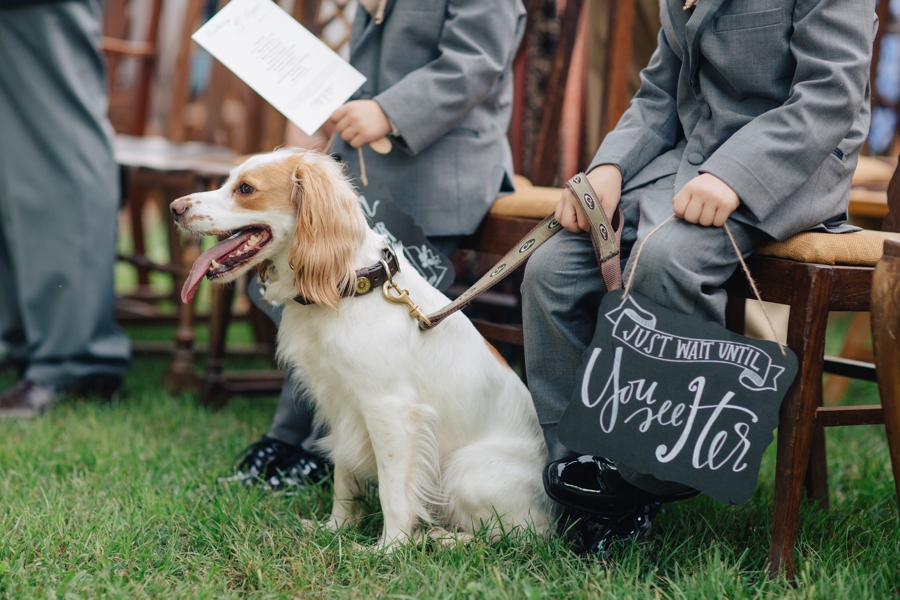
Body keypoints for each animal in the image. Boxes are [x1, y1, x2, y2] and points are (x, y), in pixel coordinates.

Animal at [169, 148, 552, 548]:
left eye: (245, 188)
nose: (174, 208)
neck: (348, 287)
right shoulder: (340, 405)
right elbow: (344, 478)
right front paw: (337, 529)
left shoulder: (391, 410)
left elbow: (393, 491)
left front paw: (388, 548)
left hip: (464, 471)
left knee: (520, 536)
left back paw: (443, 538)